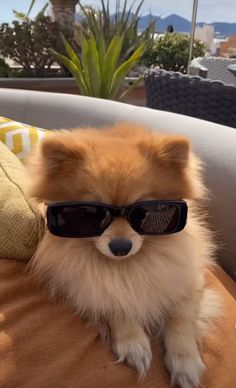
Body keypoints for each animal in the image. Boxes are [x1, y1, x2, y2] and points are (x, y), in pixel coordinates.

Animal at [28, 123, 220, 386]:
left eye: (146, 211)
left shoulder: (188, 282)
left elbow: (181, 318)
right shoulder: (86, 285)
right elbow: (115, 304)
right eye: (87, 214)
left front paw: (185, 362)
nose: (121, 247)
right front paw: (133, 342)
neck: (127, 267)